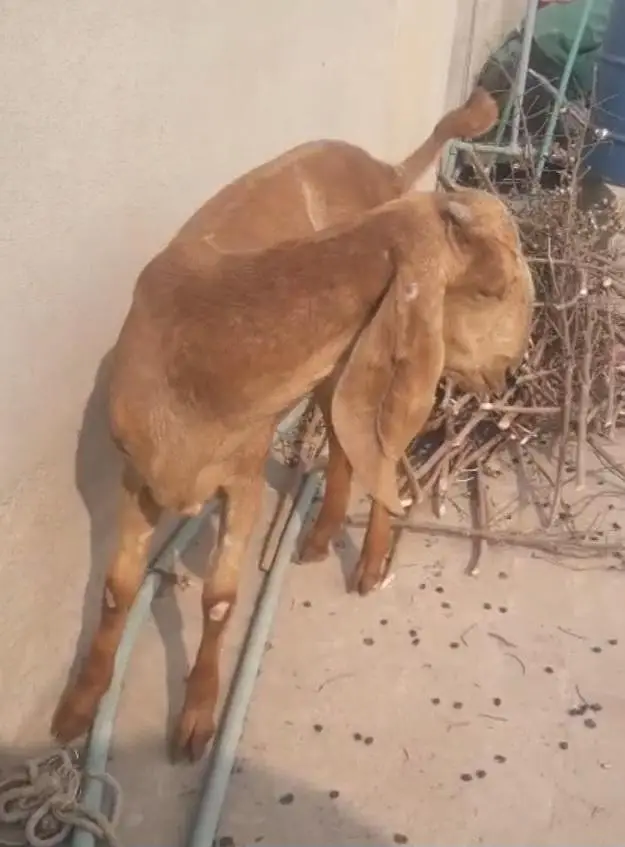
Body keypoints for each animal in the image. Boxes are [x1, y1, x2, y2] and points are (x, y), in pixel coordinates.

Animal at [52, 187, 534, 761]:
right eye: (493, 287)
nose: (509, 368)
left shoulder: (243, 480)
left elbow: (219, 601)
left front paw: (197, 719)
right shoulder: (136, 477)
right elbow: (116, 588)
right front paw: (78, 706)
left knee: (380, 456)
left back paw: (369, 566)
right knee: (349, 446)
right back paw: (320, 538)